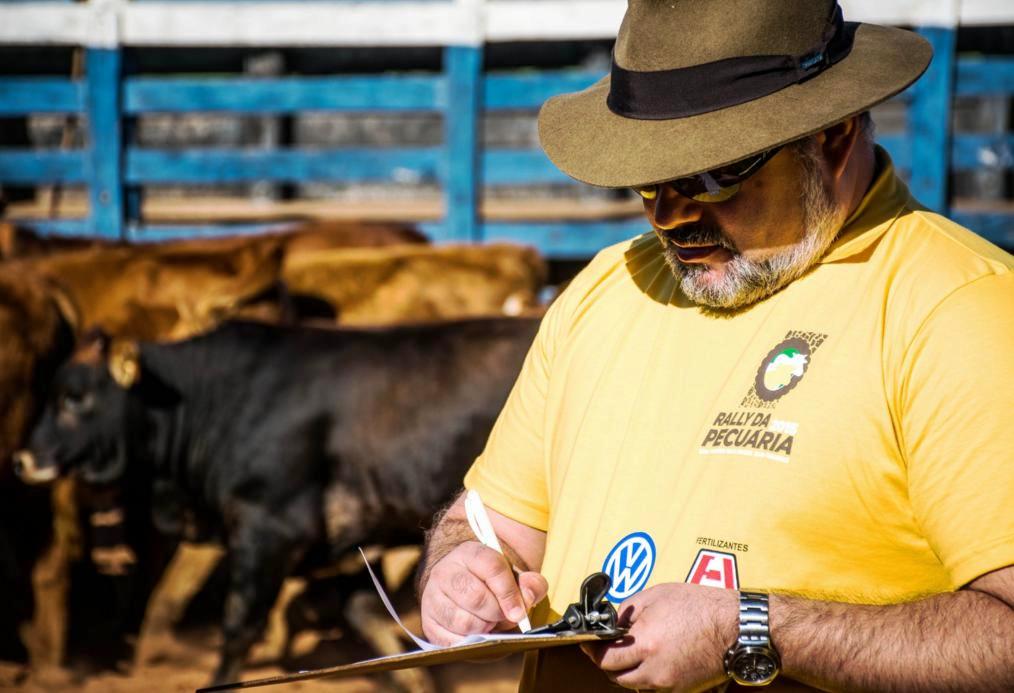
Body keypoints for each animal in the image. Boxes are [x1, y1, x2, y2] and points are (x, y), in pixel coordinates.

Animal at [13, 316, 539, 685]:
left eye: (75, 397)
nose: (23, 459)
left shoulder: (268, 528)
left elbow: (238, 627)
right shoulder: (347, 547)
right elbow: (370, 622)